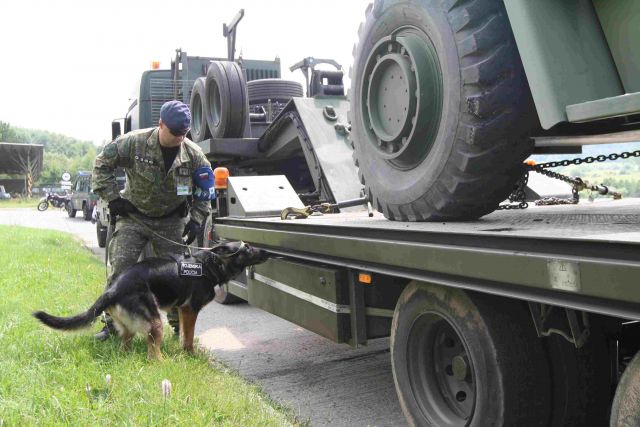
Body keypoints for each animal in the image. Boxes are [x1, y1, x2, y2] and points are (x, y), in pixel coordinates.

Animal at [33, 241, 268, 359]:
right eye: (247, 248)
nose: (267, 251)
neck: (211, 264)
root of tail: (113, 289)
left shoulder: (182, 311)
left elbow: (184, 334)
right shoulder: (190, 310)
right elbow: (189, 338)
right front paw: (189, 355)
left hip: (129, 327)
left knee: (125, 346)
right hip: (155, 321)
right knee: (152, 355)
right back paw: (164, 366)